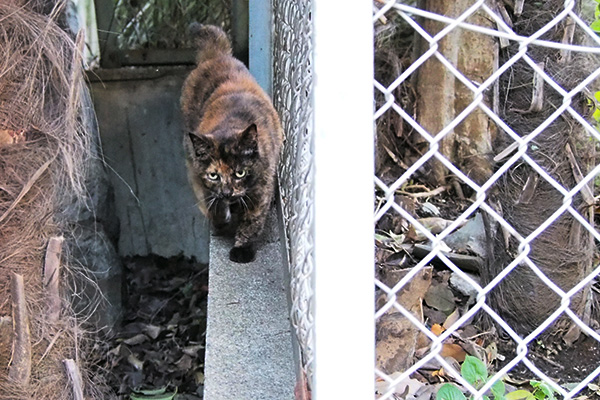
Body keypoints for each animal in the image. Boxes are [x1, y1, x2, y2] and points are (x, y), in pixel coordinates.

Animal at [180, 24, 284, 262]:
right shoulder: (199, 176)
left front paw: (242, 249)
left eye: (240, 172)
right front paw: (220, 220)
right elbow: (211, 203)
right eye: (213, 175)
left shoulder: (261, 186)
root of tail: (216, 56)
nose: (227, 192)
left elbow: (252, 221)